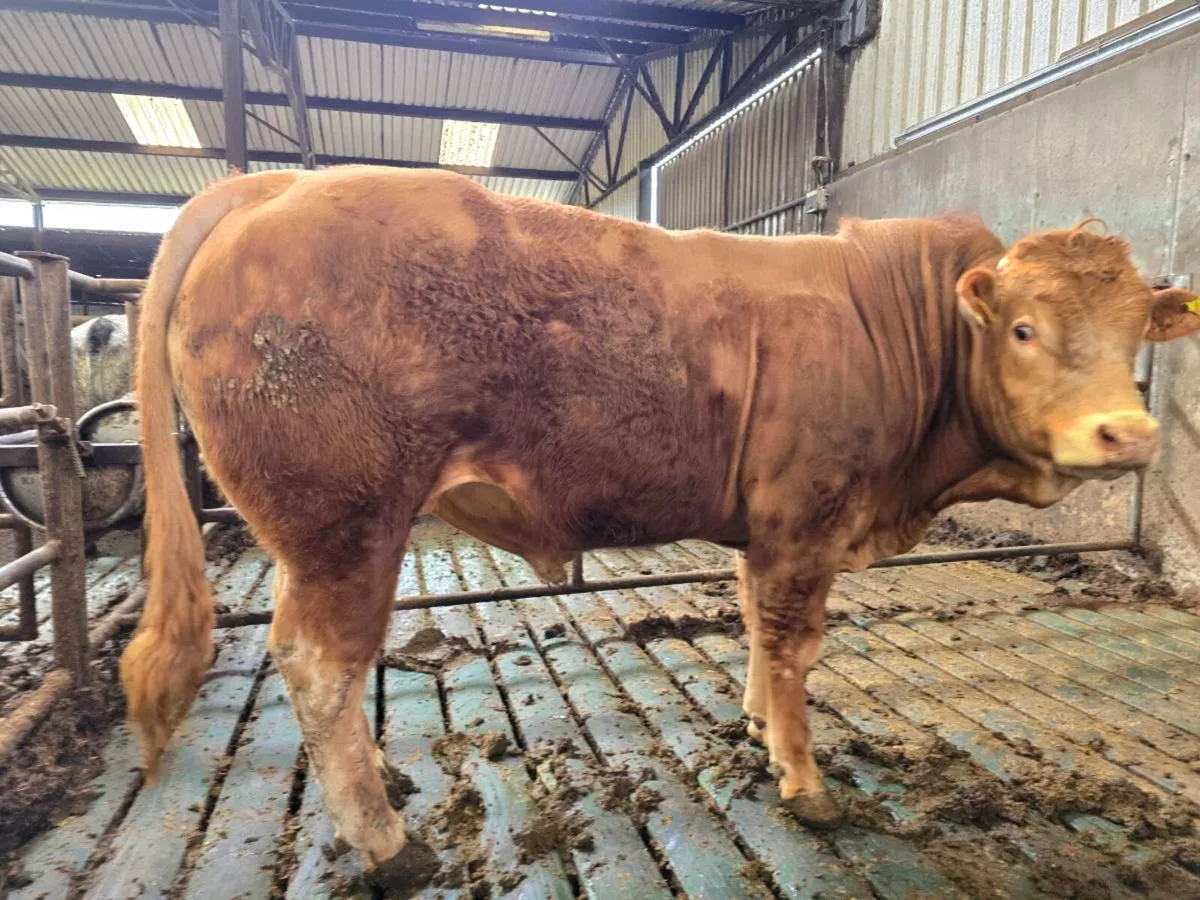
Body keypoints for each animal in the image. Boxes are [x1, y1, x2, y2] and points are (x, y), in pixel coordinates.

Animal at [119, 165, 1200, 885]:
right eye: (1023, 328)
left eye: (1138, 332)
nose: (1129, 431)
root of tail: (278, 184)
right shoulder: (804, 515)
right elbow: (796, 644)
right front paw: (804, 779)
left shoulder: (768, 527)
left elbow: (758, 628)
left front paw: (758, 726)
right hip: (346, 524)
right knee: (319, 663)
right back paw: (387, 842)